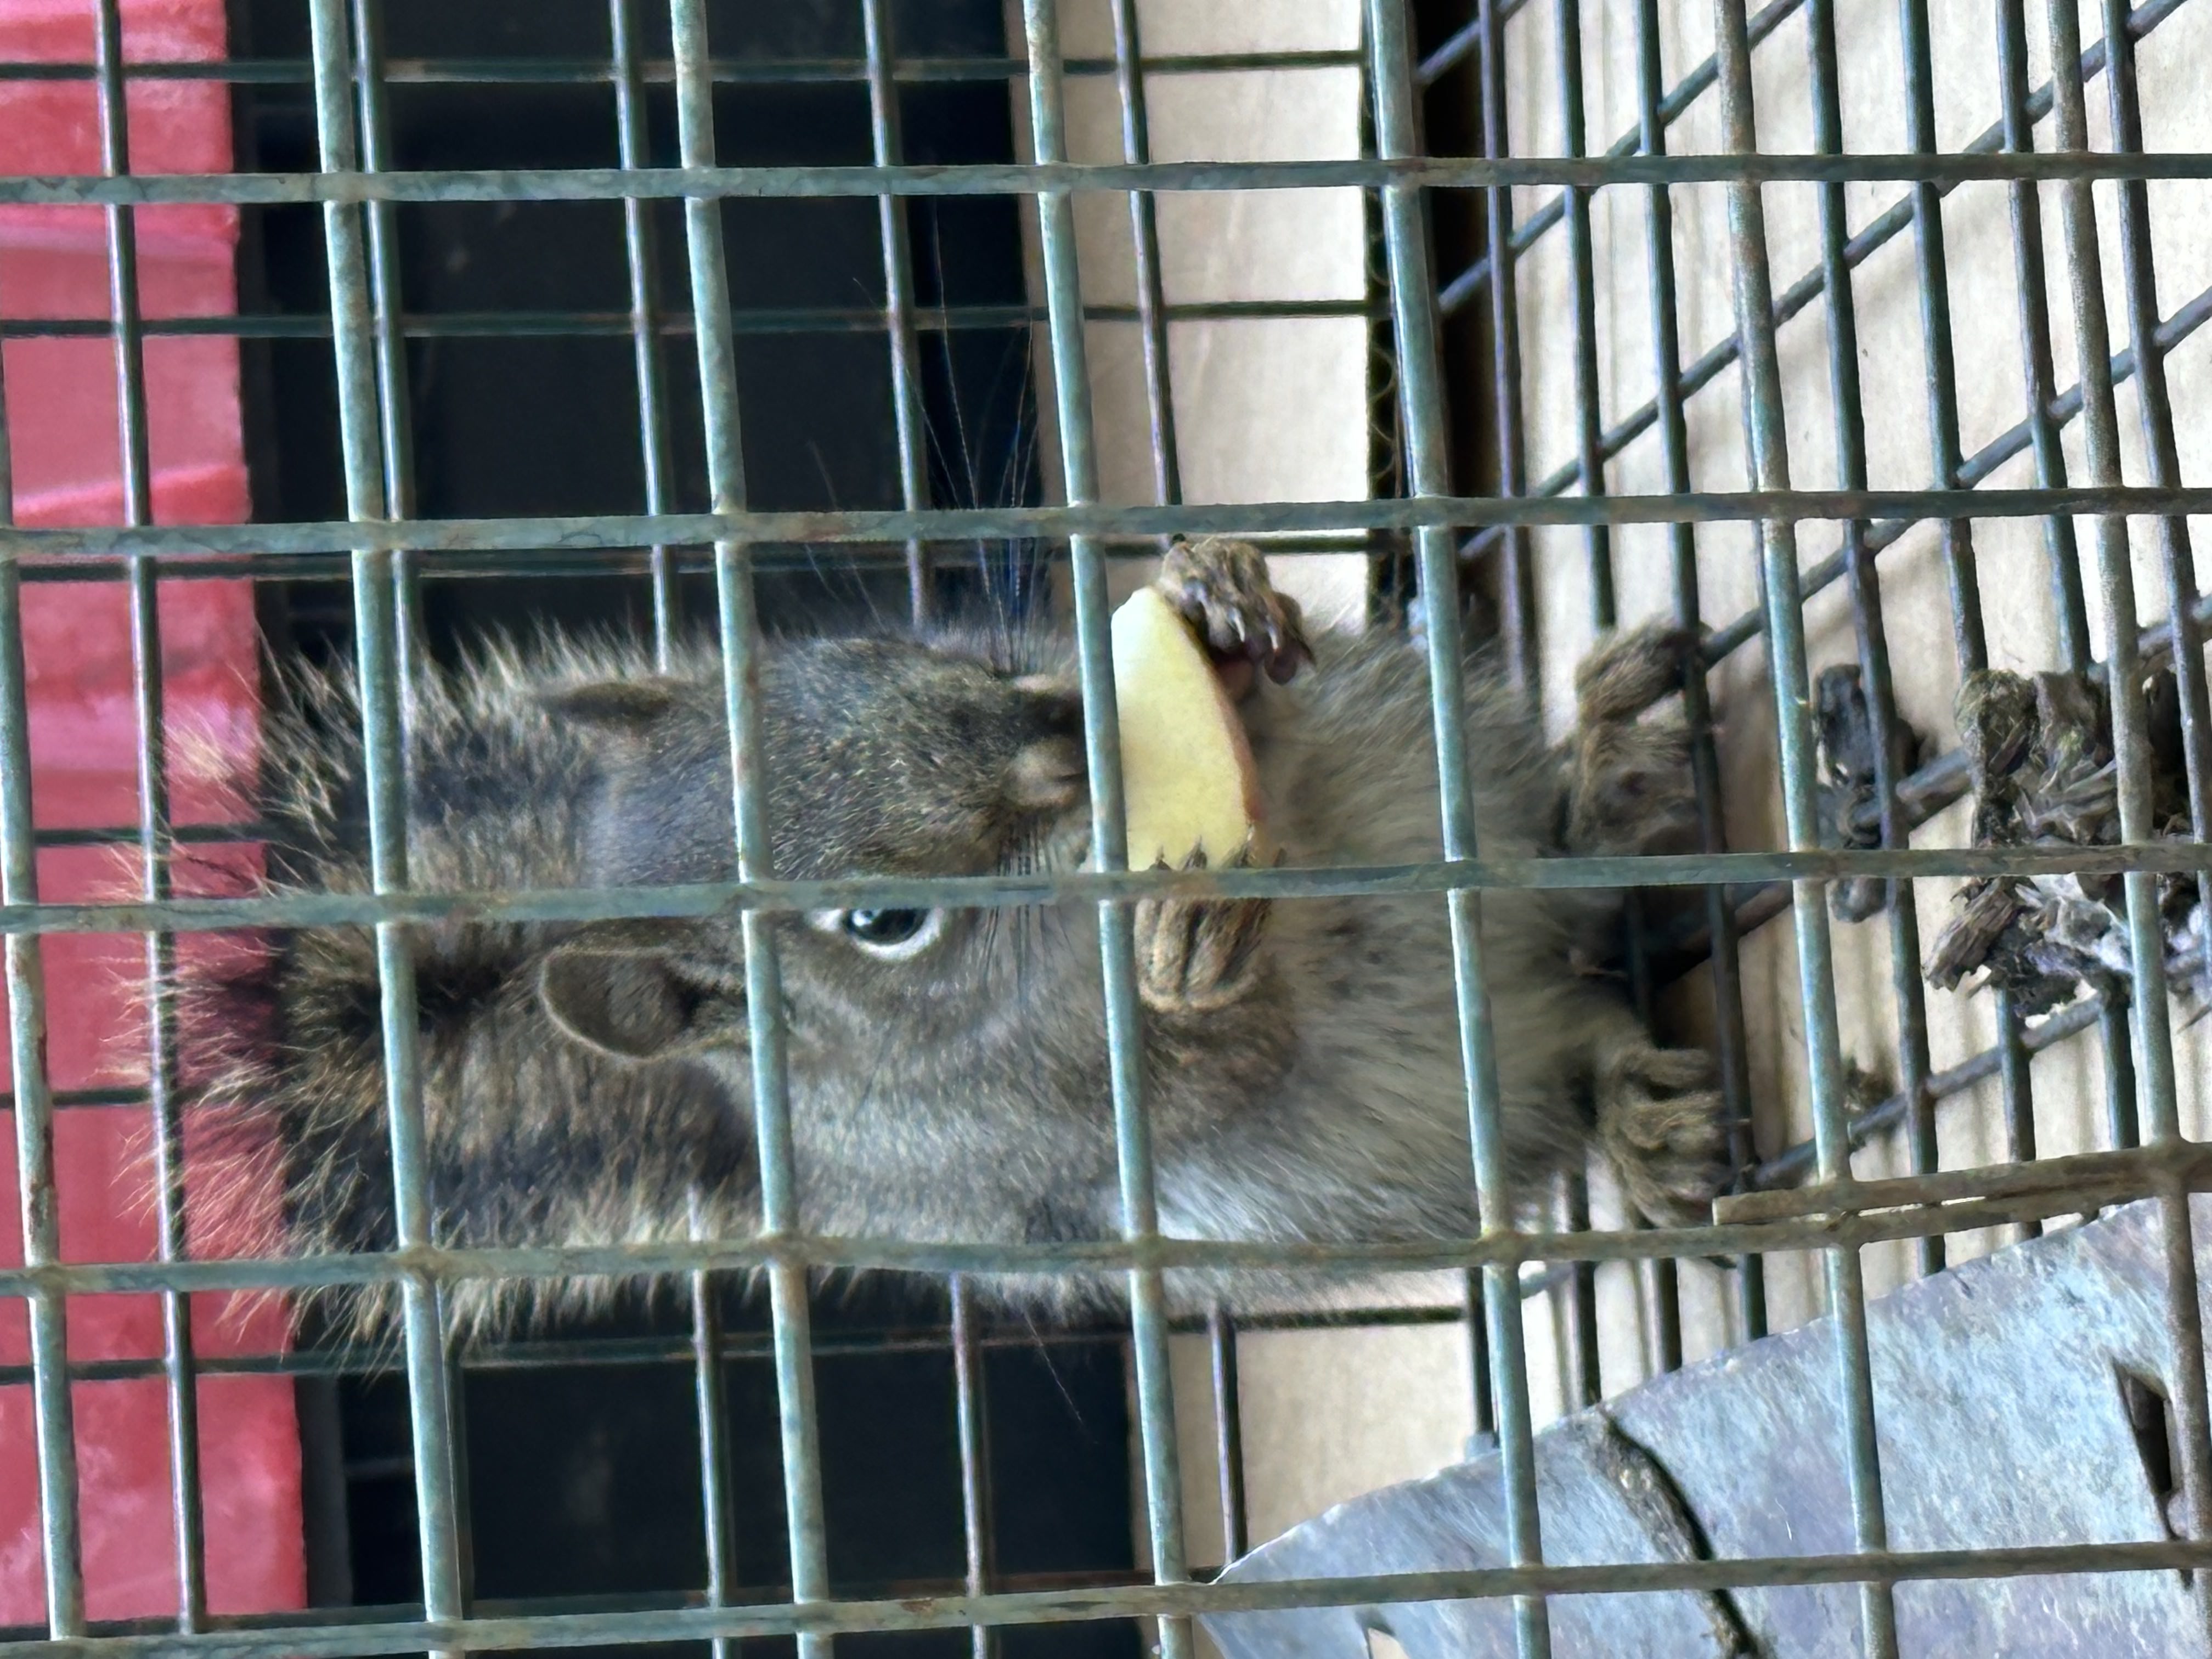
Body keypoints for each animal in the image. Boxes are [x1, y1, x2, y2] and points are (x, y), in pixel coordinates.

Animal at [184, 538, 1729, 1338]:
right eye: (883, 924)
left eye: (914, 658)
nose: (1074, 737)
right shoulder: (1022, 1134)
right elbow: (1230, 1066)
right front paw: (1190, 965)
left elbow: (1271, 740)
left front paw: (1223, 604)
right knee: (1584, 1044)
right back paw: (1640, 1108)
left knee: (1564, 877)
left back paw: (1610, 772)